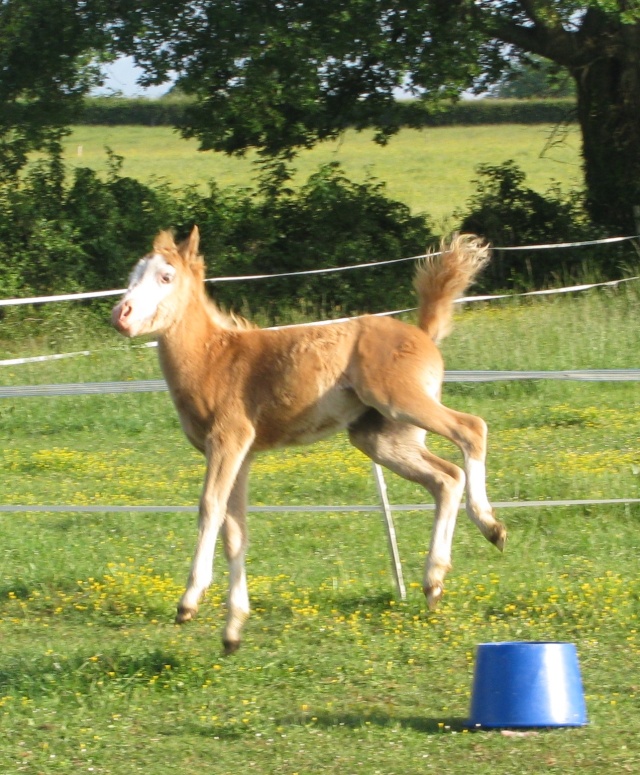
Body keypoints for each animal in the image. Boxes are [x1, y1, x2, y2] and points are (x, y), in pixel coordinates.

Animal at [112, 227, 508, 652]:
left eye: (166, 276)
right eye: (133, 274)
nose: (121, 315)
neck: (213, 357)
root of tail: (421, 333)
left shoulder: (228, 440)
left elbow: (209, 508)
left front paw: (189, 600)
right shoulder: (243, 455)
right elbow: (236, 532)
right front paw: (233, 628)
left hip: (401, 402)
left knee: (472, 429)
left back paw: (489, 525)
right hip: (381, 437)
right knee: (446, 478)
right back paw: (434, 580)